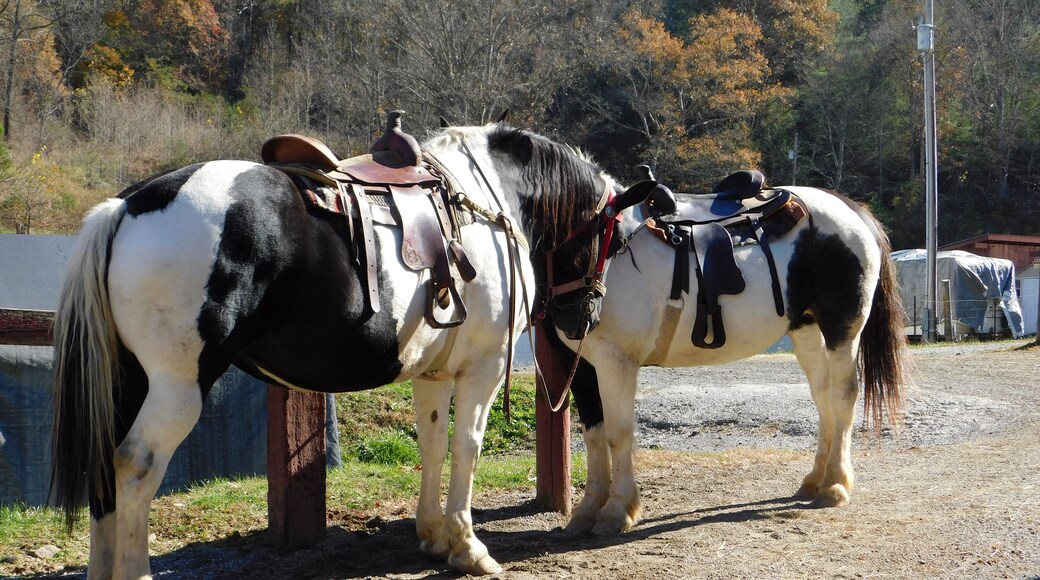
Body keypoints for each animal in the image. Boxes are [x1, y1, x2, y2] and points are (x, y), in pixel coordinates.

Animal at [49, 119, 652, 578]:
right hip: (177, 387)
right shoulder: (481, 369)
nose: (583, 315)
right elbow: (467, 449)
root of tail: (127, 207)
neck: (486, 203)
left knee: (107, 468)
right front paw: (467, 547)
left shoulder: (433, 375)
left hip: (129, 380)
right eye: (608, 238)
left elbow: (433, 446)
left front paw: (434, 535)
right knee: (135, 466)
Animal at [537, 175, 907, 536]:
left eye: (599, 232)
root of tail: (852, 209)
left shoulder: (616, 362)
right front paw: (587, 511)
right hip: (807, 329)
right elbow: (594, 435)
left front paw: (616, 511)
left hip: (842, 330)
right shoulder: (579, 364)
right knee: (823, 397)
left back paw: (834, 486)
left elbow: (618, 433)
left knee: (843, 396)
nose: (576, 316)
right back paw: (816, 480)